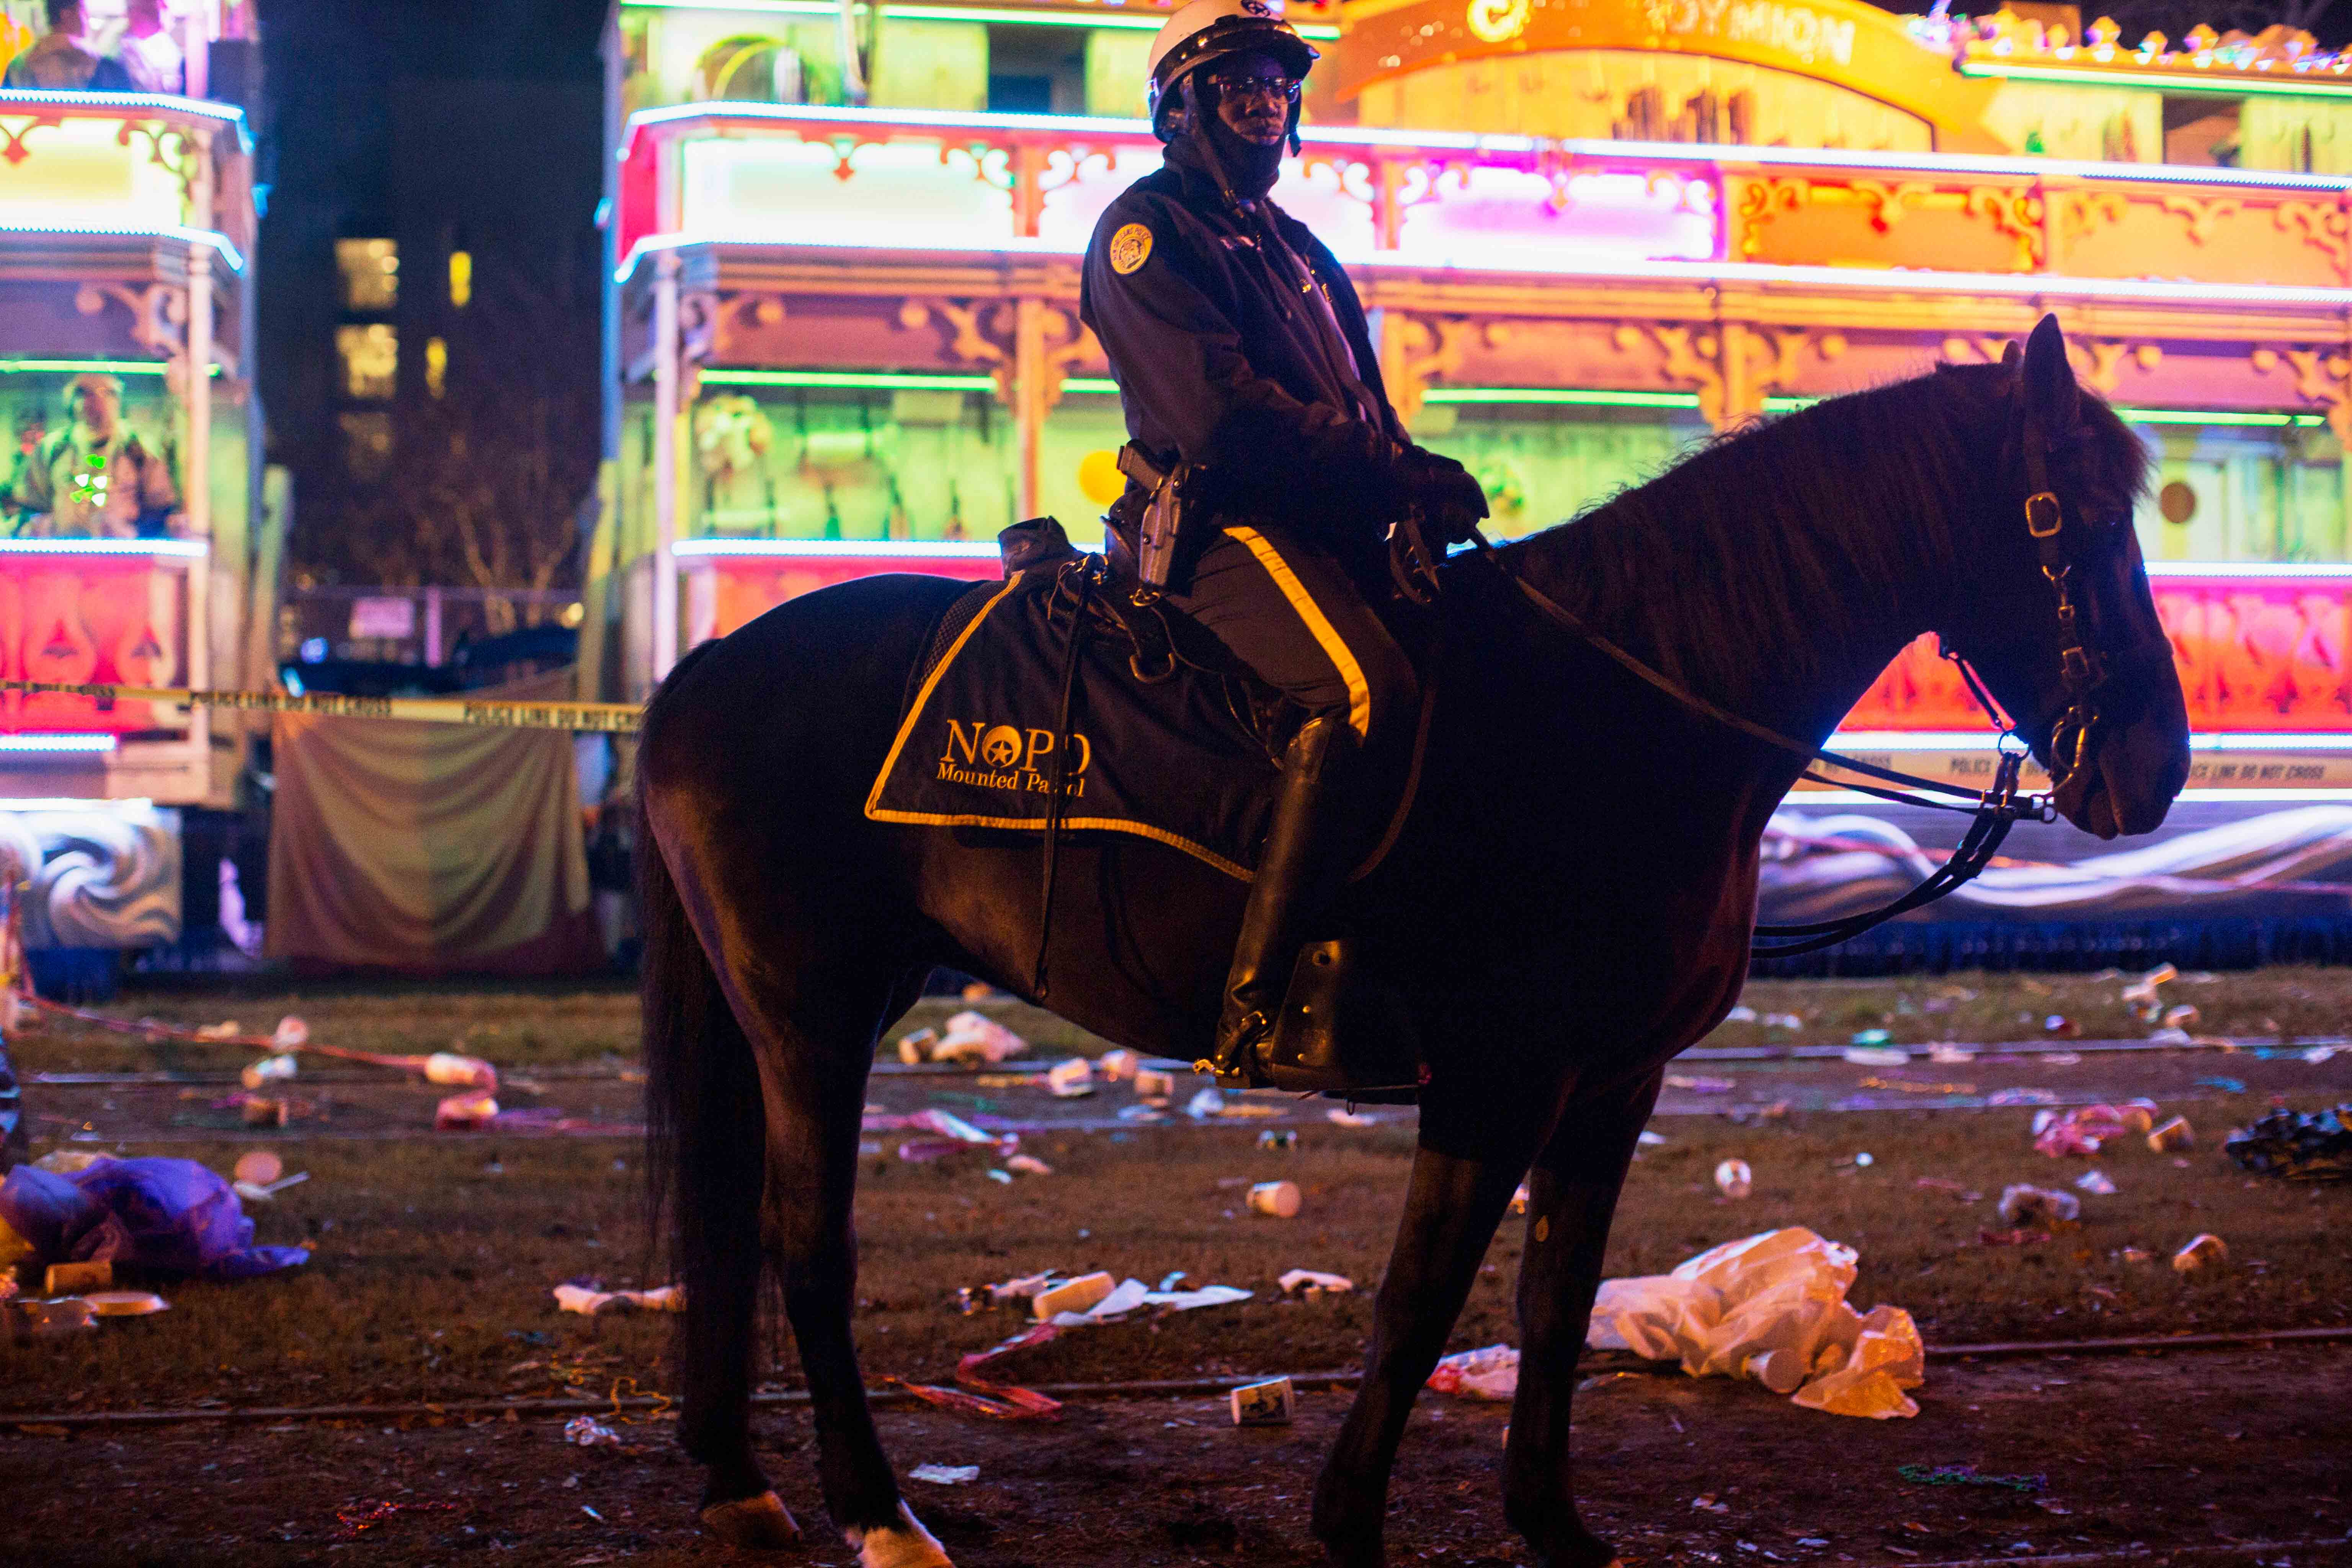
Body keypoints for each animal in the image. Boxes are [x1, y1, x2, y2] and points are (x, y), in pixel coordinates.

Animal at [640, 322, 2182, 1568]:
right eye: (2061, 515)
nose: (2151, 771)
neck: (1627, 709)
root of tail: (699, 670)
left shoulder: (1608, 1085)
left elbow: (1554, 1300)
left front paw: (1550, 1525)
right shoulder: (1495, 1080)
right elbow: (1419, 1298)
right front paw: (1346, 1524)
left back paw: (736, 1484)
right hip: (809, 1016)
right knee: (805, 1248)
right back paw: (877, 1514)